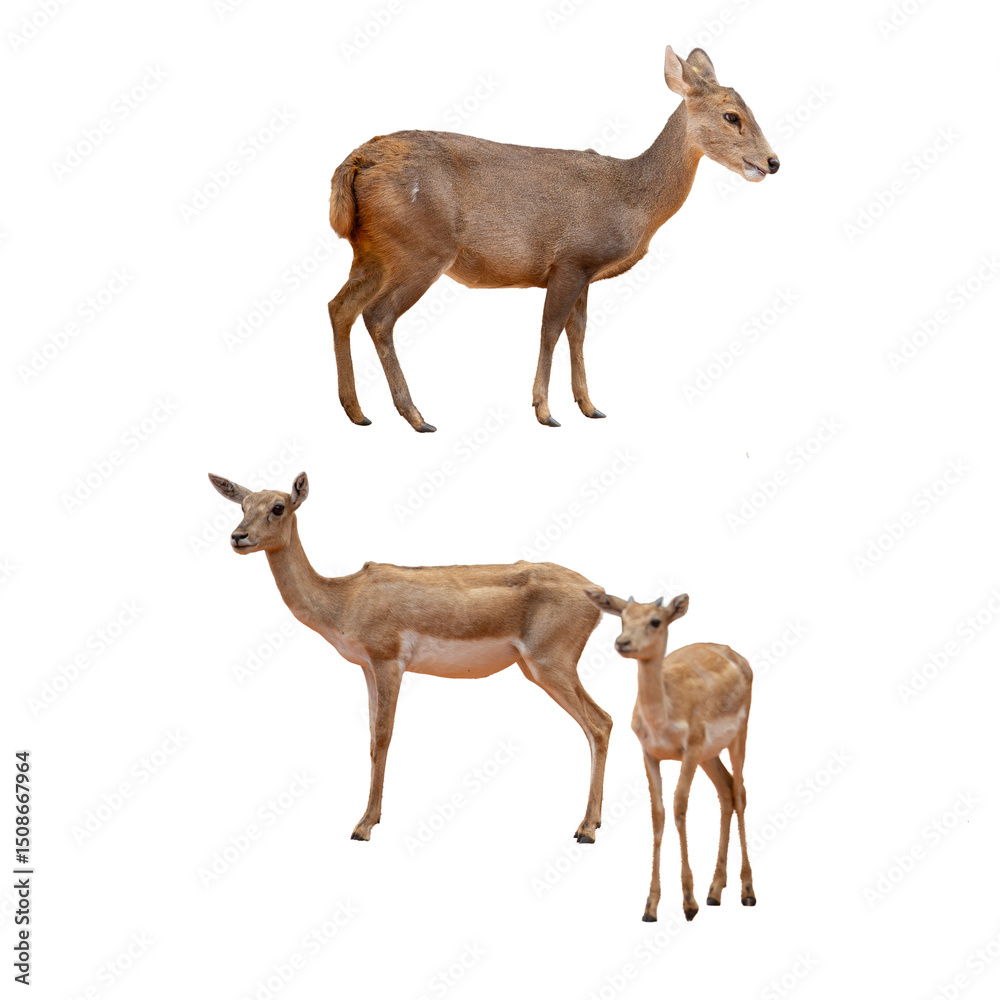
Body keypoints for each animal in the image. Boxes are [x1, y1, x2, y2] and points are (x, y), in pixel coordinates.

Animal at [208, 471, 613, 843]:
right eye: (243, 505)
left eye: (278, 507)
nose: (238, 537)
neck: (345, 599)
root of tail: (595, 590)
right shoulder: (368, 668)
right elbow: (371, 737)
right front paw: (371, 818)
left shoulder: (389, 663)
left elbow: (384, 735)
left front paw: (364, 826)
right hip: (538, 669)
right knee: (602, 722)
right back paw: (591, 824)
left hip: (550, 667)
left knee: (599, 724)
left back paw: (586, 830)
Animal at [327, 45, 778, 432]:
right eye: (732, 116)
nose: (773, 162)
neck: (632, 200)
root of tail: (357, 160)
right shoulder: (571, 259)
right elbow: (550, 328)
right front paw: (545, 411)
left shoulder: (585, 272)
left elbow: (577, 332)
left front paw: (590, 406)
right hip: (422, 249)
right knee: (378, 315)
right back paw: (416, 416)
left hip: (370, 253)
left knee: (339, 307)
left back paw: (356, 411)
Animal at [585, 590, 755, 922]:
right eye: (623, 617)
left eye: (655, 620)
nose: (623, 642)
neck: (665, 715)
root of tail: (735, 655)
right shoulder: (650, 755)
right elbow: (659, 814)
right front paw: (651, 907)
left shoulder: (689, 751)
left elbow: (679, 806)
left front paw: (689, 903)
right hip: (709, 756)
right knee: (726, 791)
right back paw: (715, 891)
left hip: (736, 738)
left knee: (740, 792)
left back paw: (747, 892)